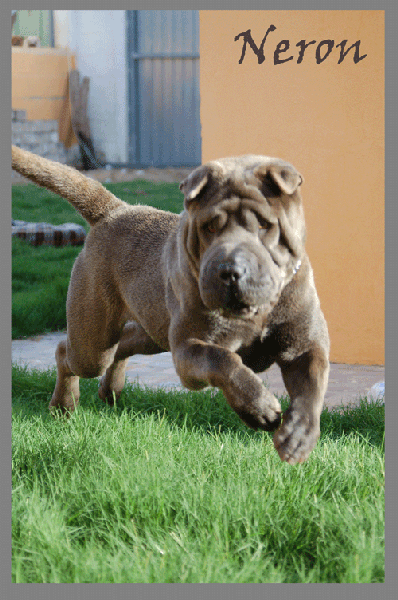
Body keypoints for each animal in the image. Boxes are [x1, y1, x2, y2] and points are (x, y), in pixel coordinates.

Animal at [12, 145, 330, 464]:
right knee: (67, 353)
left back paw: (110, 389)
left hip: (153, 332)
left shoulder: (304, 347)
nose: (230, 270)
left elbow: (312, 387)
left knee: (123, 344)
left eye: (264, 225)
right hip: (94, 341)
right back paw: (63, 404)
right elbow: (225, 361)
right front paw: (260, 408)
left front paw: (298, 436)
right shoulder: (189, 349)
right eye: (210, 227)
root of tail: (115, 210)